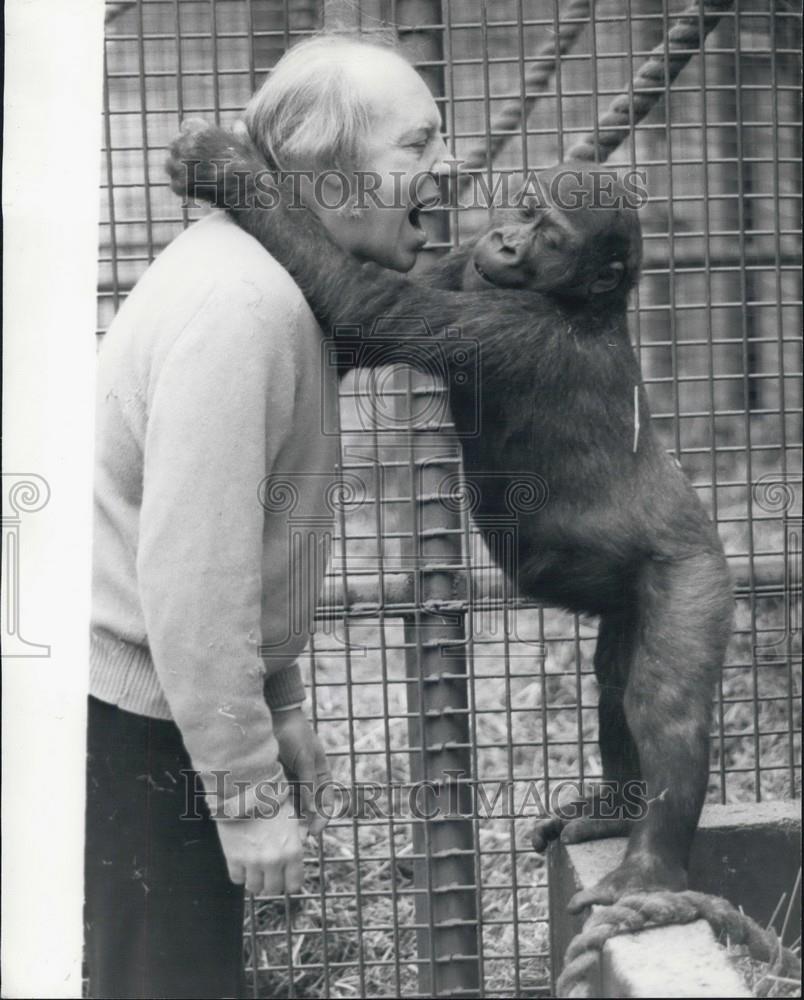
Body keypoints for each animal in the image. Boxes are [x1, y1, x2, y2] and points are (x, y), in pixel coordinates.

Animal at [165, 119, 736, 916]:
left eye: (547, 230)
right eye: (522, 207)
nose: (506, 237)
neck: (575, 303)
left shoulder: (505, 328)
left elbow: (364, 305)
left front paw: (225, 165)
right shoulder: (468, 268)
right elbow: (348, 336)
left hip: (692, 577)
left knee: (666, 704)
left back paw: (648, 867)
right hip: (632, 600)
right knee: (617, 681)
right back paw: (614, 813)